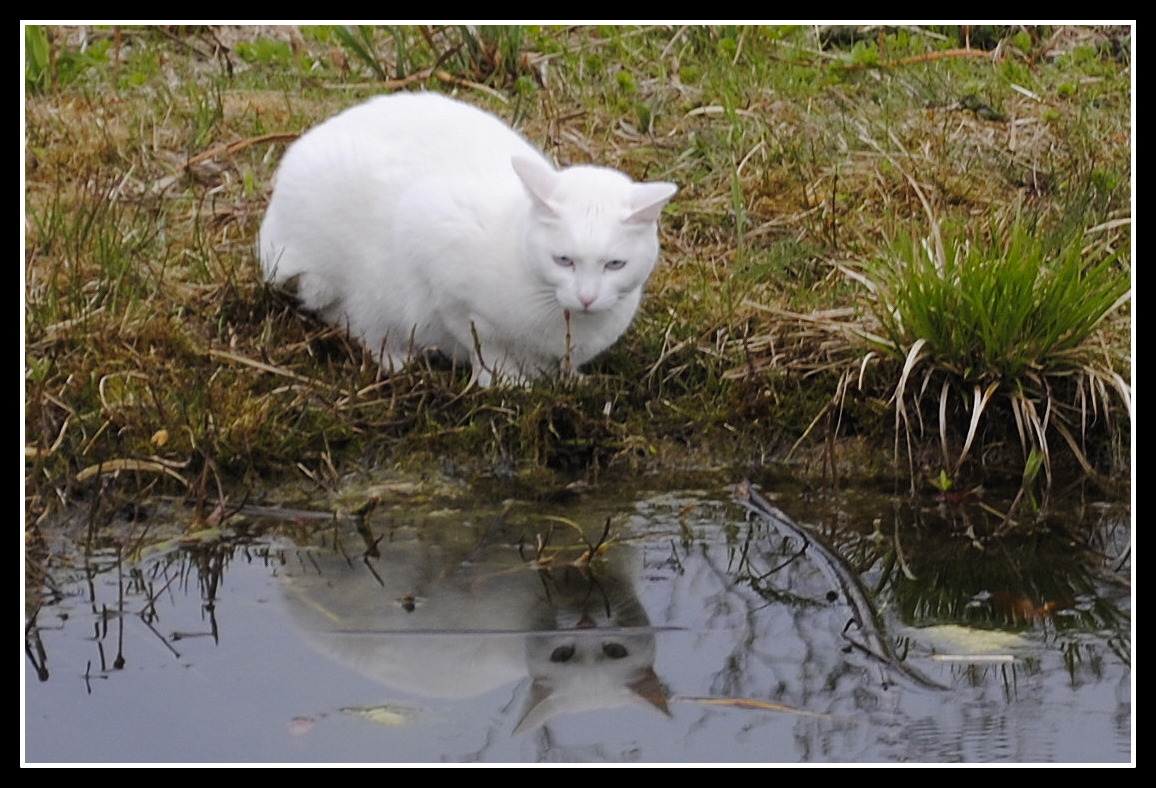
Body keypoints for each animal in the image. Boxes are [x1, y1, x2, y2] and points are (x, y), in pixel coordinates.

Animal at [260, 90, 675, 385]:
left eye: (615, 264)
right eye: (564, 260)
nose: (587, 298)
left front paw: (567, 380)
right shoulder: (436, 247)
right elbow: (481, 343)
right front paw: (507, 384)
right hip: (338, 274)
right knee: (351, 318)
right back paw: (397, 359)